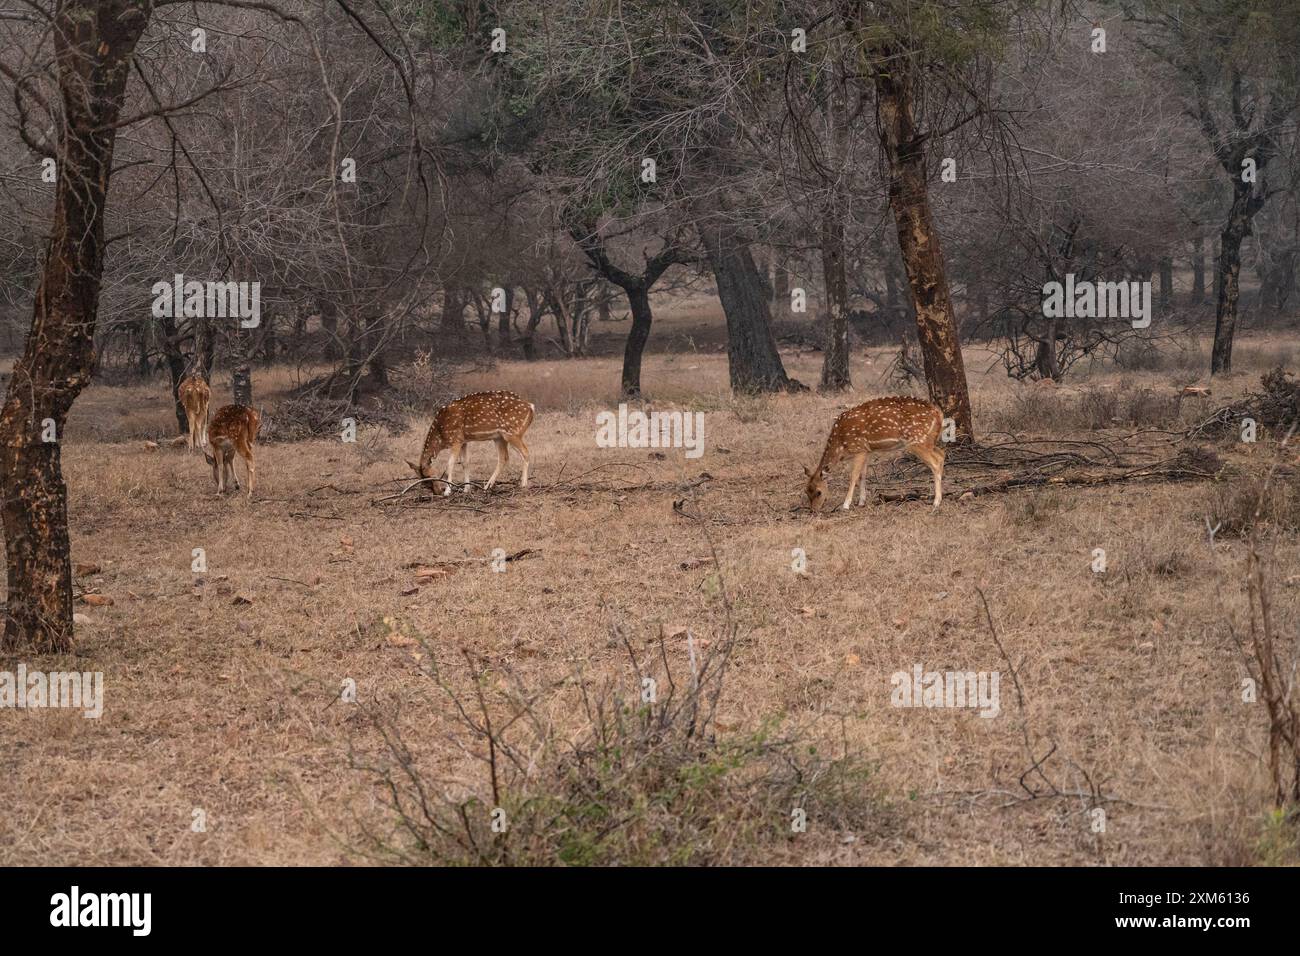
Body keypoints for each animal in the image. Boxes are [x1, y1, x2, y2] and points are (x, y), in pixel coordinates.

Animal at [800, 395, 946, 515]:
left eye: (819, 492)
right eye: (806, 491)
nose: (813, 510)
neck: (841, 444)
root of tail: (938, 413)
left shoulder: (859, 448)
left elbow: (853, 476)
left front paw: (846, 505)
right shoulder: (867, 451)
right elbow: (863, 475)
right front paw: (861, 502)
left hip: (916, 440)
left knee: (935, 462)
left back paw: (936, 502)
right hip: (929, 440)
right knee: (941, 454)